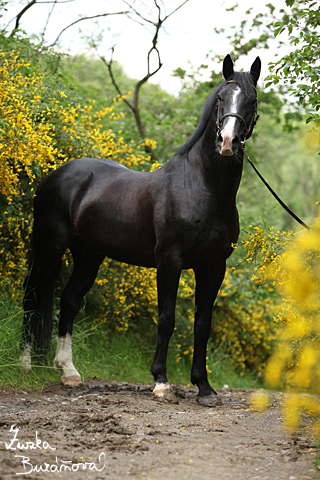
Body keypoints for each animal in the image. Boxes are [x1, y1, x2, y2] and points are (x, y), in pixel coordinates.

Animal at [20, 56, 260, 406]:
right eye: (220, 99)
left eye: (252, 100)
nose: (227, 142)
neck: (201, 189)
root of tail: (58, 172)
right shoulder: (170, 261)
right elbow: (167, 319)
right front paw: (161, 382)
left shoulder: (214, 267)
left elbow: (202, 324)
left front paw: (204, 387)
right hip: (50, 247)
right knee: (32, 295)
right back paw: (24, 362)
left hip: (89, 255)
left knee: (69, 301)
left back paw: (69, 372)